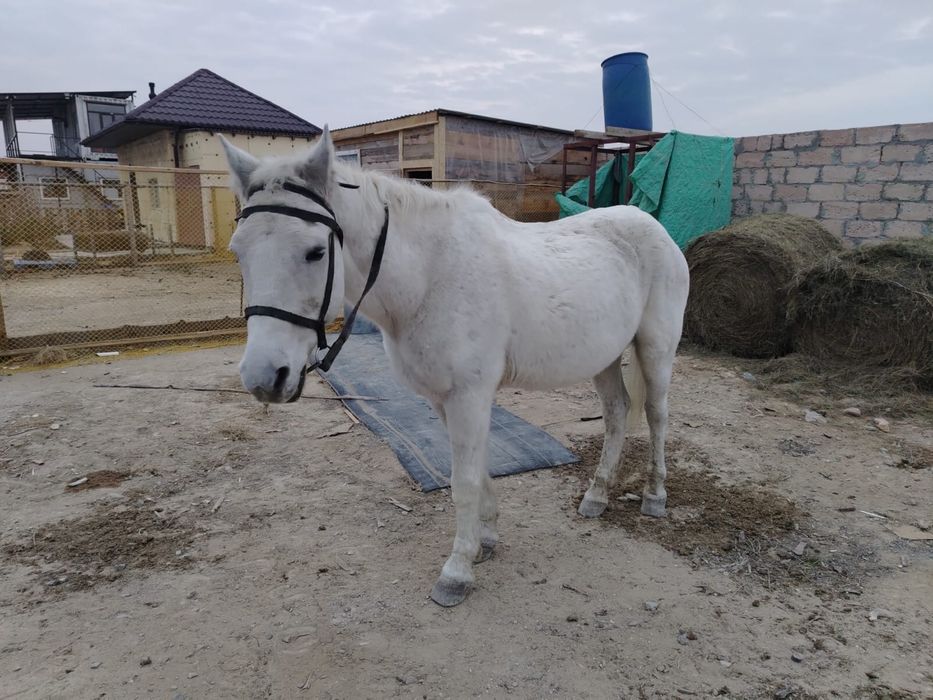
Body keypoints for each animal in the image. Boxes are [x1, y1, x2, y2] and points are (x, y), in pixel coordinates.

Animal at [220, 128, 690, 607]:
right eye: (238, 251)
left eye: (316, 252)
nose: (263, 377)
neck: (430, 274)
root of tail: (653, 226)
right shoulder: (444, 399)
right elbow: (476, 470)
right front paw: (486, 540)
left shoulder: (469, 395)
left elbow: (462, 480)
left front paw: (457, 571)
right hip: (604, 356)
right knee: (617, 413)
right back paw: (596, 496)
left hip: (655, 349)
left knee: (656, 414)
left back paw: (655, 496)